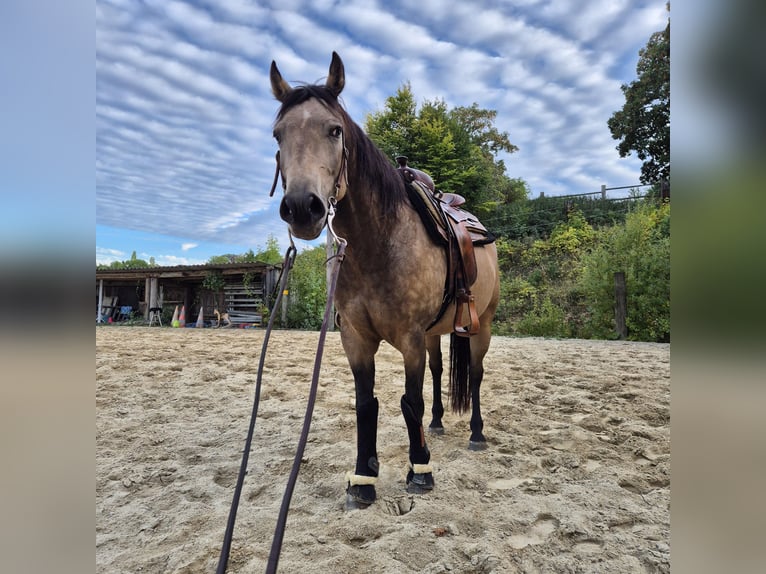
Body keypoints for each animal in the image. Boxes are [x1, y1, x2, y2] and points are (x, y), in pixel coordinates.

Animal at [269, 52, 500, 507]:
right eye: (277, 135)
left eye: (335, 130)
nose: (302, 207)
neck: (378, 246)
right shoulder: (356, 339)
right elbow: (366, 404)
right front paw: (364, 476)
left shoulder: (409, 338)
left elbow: (409, 402)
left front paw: (421, 470)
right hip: (435, 333)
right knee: (438, 371)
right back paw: (438, 424)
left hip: (481, 324)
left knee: (476, 374)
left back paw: (476, 433)